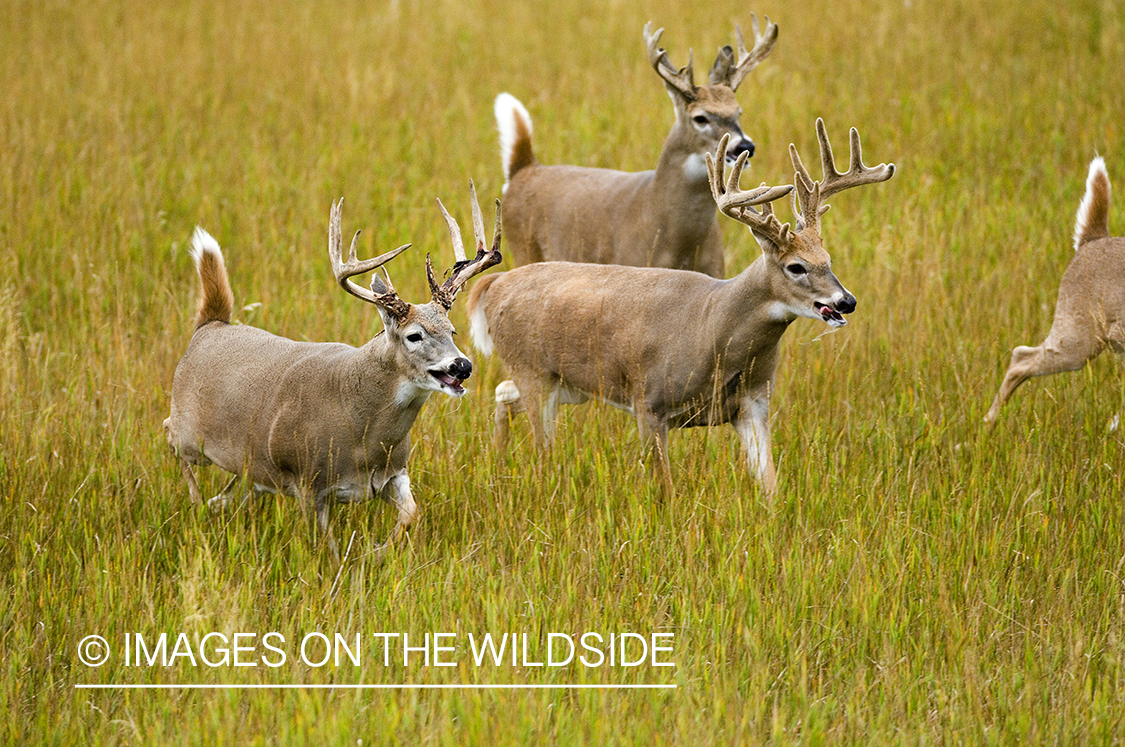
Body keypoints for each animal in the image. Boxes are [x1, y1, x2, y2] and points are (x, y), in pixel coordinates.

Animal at [163, 185, 501, 560]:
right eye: (414, 335)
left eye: (452, 331)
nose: (463, 366)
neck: (361, 432)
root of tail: (210, 325)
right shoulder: (307, 480)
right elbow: (327, 547)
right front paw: (345, 564)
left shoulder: (394, 473)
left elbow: (411, 513)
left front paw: (375, 551)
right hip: (191, 433)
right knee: (170, 436)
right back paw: (195, 502)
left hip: (251, 465)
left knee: (233, 487)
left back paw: (213, 504)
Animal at [468, 120, 895, 495]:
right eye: (796, 266)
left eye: (828, 259)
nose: (846, 301)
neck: (713, 327)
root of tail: (494, 285)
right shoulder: (649, 403)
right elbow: (665, 490)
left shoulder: (753, 405)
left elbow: (770, 486)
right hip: (533, 370)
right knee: (541, 447)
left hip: (569, 385)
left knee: (504, 394)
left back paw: (498, 462)